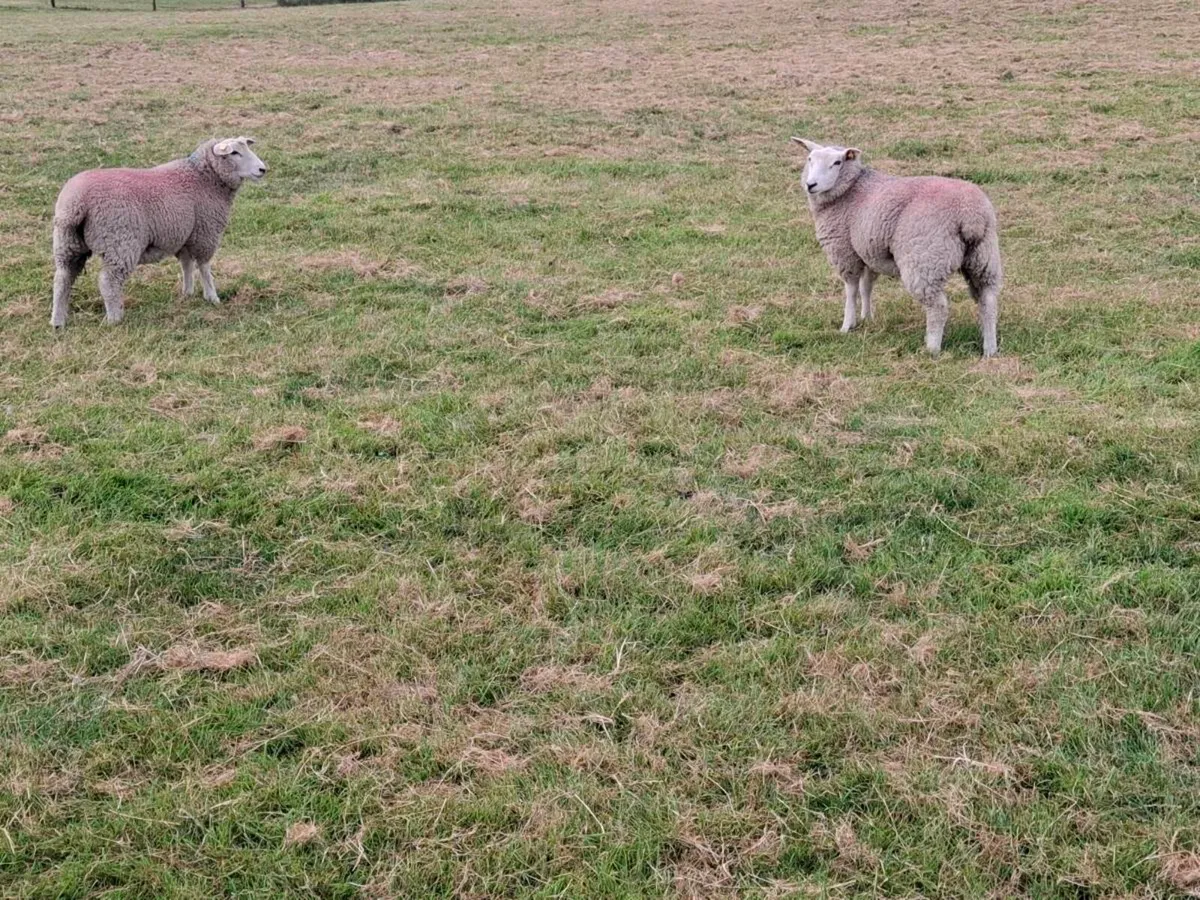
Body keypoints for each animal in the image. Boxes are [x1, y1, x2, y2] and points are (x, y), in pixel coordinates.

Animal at [50, 136, 267, 328]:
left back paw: (58, 321)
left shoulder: (184, 234)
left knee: (62, 278)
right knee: (108, 281)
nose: (263, 169)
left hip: (67, 243)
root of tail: (76, 203)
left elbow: (187, 264)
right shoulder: (205, 233)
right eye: (234, 153)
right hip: (120, 242)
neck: (203, 177)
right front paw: (212, 297)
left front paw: (187, 293)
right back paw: (114, 318)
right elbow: (204, 267)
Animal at [792, 138, 1002, 357]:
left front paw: (847, 325)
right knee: (988, 301)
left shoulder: (844, 251)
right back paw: (990, 349)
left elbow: (851, 290)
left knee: (938, 306)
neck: (851, 190)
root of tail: (970, 215)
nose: (811, 184)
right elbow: (866, 286)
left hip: (925, 259)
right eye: (809, 159)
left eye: (837, 163)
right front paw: (867, 317)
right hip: (983, 258)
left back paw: (931, 348)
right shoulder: (869, 252)